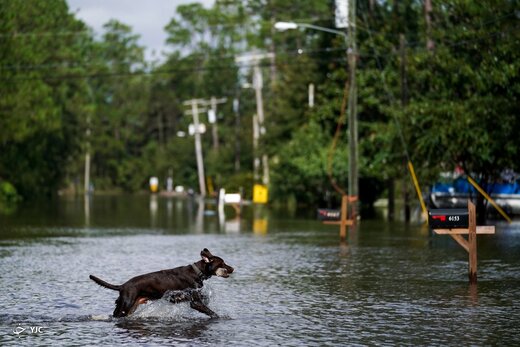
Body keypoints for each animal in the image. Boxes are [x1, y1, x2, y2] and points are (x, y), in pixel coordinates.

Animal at [89, 249, 234, 320]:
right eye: (222, 263)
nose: (233, 268)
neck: (197, 272)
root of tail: (123, 286)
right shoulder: (194, 302)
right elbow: (212, 313)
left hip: (131, 306)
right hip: (126, 305)